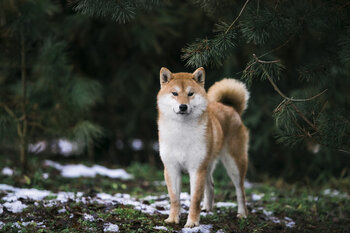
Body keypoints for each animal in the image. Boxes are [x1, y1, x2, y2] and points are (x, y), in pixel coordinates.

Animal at [156, 67, 249, 228]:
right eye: (174, 93)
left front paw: (192, 223)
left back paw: (242, 214)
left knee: (240, 191)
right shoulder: (172, 168)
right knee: (211, 185)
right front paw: (173, 219)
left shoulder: (196, 170)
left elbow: (194, 200)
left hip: (234, 165)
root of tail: (231, 108)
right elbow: (174, 199)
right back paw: (207, 208)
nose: (183, 106)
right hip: (207, 165)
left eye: (190, 93)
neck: (181, 133)